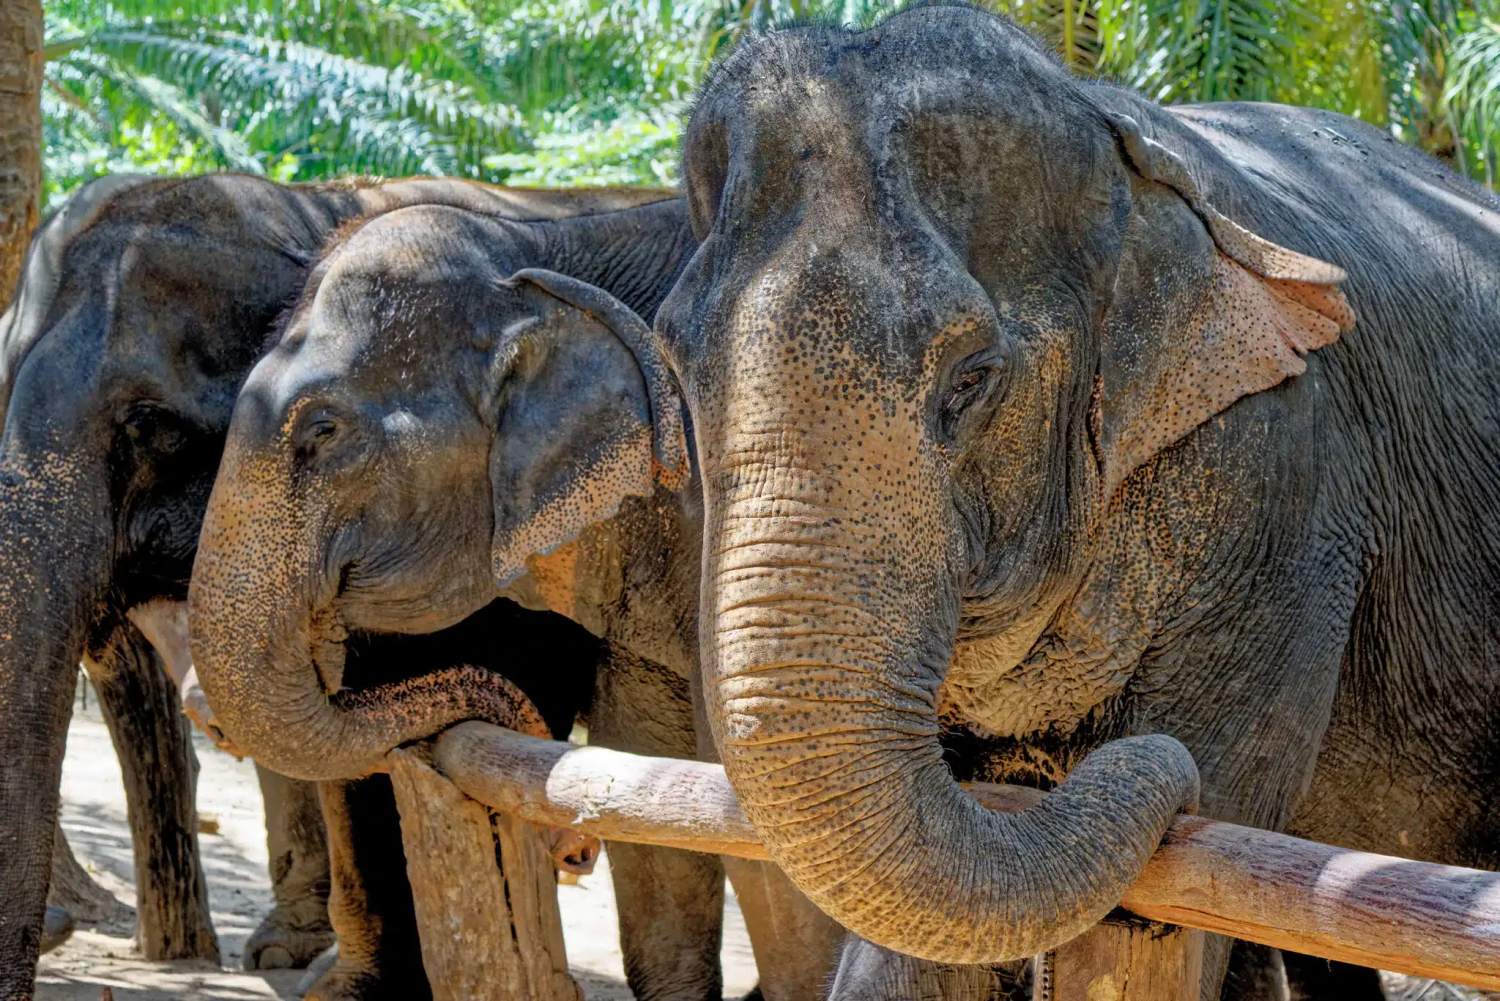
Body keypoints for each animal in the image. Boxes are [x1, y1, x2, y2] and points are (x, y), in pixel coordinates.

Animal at [649, 5, 1500, 999]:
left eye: (971, 378)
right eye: (675, 367)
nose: (1126, 760)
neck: (1115, 142)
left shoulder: (1284, 473)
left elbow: (1219, 823)